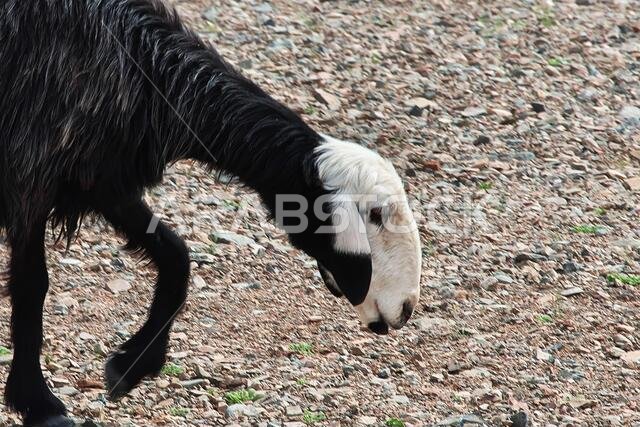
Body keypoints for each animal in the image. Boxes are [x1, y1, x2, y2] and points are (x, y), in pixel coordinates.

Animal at [0, 0, 421, 425]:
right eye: (375, 215)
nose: (406, 309)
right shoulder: (30, 172)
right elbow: (32, 285)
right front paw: (37, 402)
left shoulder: (100, 178)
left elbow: (176, 256)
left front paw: (132, 365)